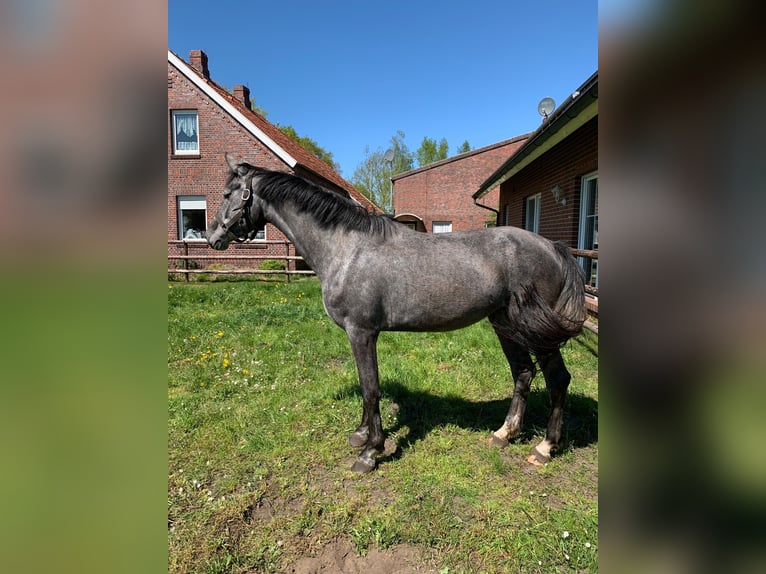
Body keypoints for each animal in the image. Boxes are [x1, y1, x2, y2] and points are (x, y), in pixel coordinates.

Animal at [207, 153, 587, 473]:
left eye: (227, 194)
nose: (212, 238)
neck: (347, 248)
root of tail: (553, 247)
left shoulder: (361, 332)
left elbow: (371, 388)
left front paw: (370, 452)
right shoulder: (359, 335)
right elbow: (367, 387)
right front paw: (361, 434)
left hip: (535, 331)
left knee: (557, 379)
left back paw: (545, 447)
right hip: (504, 323)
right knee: (523, 373)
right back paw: (504, 433)